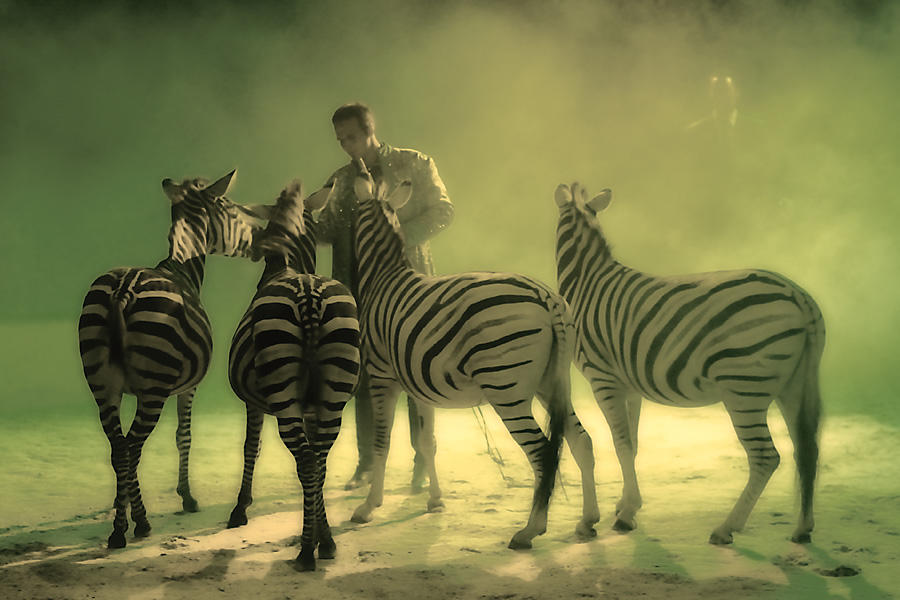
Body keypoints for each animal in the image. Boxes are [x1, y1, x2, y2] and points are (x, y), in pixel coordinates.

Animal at [78, 170, 270, 549]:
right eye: (229, 207)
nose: (259, 241)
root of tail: (123, 288)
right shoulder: (188, 387)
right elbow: (185, 435)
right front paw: (187, 497)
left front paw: (122, 503)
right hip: (153, 391)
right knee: (132, 448)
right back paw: (136, 525)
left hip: (102, 387)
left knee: (118, 449)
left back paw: (122, 524)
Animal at [226, 180, 360, 572]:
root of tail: (308, 292)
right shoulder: (313, 409)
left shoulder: (254, 404)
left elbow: (250, 447)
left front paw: (239, 510)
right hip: (334, 394)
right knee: (319, 461)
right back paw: (324, 542)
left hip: (284, 396)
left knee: (305, 461)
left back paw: (305, 551)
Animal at [344, 163, 600, 550]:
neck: (385, 276)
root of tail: (547, 298)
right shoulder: (419, 385)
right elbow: (427, 442)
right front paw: (435, 500)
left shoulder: (381, 377)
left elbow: (381, 443)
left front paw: (368, 507)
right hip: (552, 384)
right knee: (582, 442)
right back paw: (587, 522)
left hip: (506, 388)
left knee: (542, 453)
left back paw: (529, 531)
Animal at [553, 182, 825, 544]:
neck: (587, 280)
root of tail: (799, 297)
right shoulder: (629, 387)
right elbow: (632, 445)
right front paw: (626, 506)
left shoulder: (604, 379)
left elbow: (621, 444)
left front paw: (624, 515)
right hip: (794, 385)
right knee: (806, 450)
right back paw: (803, 529)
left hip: (745, 389)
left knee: (766, 457)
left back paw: (726, 528)